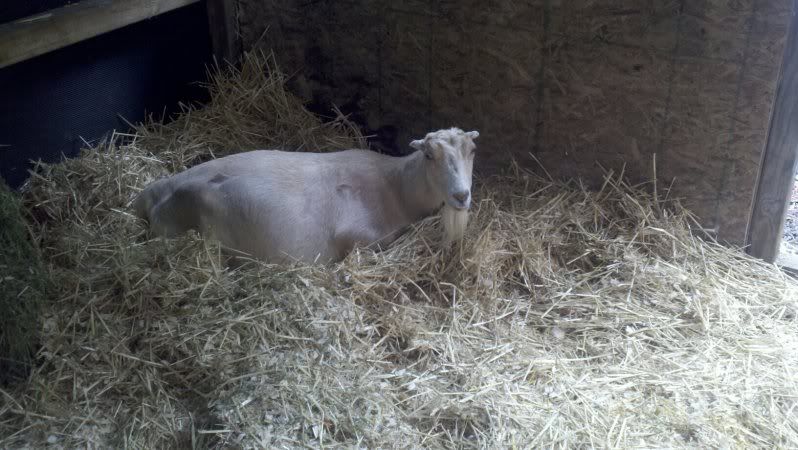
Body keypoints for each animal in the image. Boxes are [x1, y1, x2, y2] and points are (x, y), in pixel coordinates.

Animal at [132, 127, 479, 264]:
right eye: (429, 156)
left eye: (472, 151)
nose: (461, 195)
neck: (395, 186)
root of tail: (150, 195)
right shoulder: (359, 235)